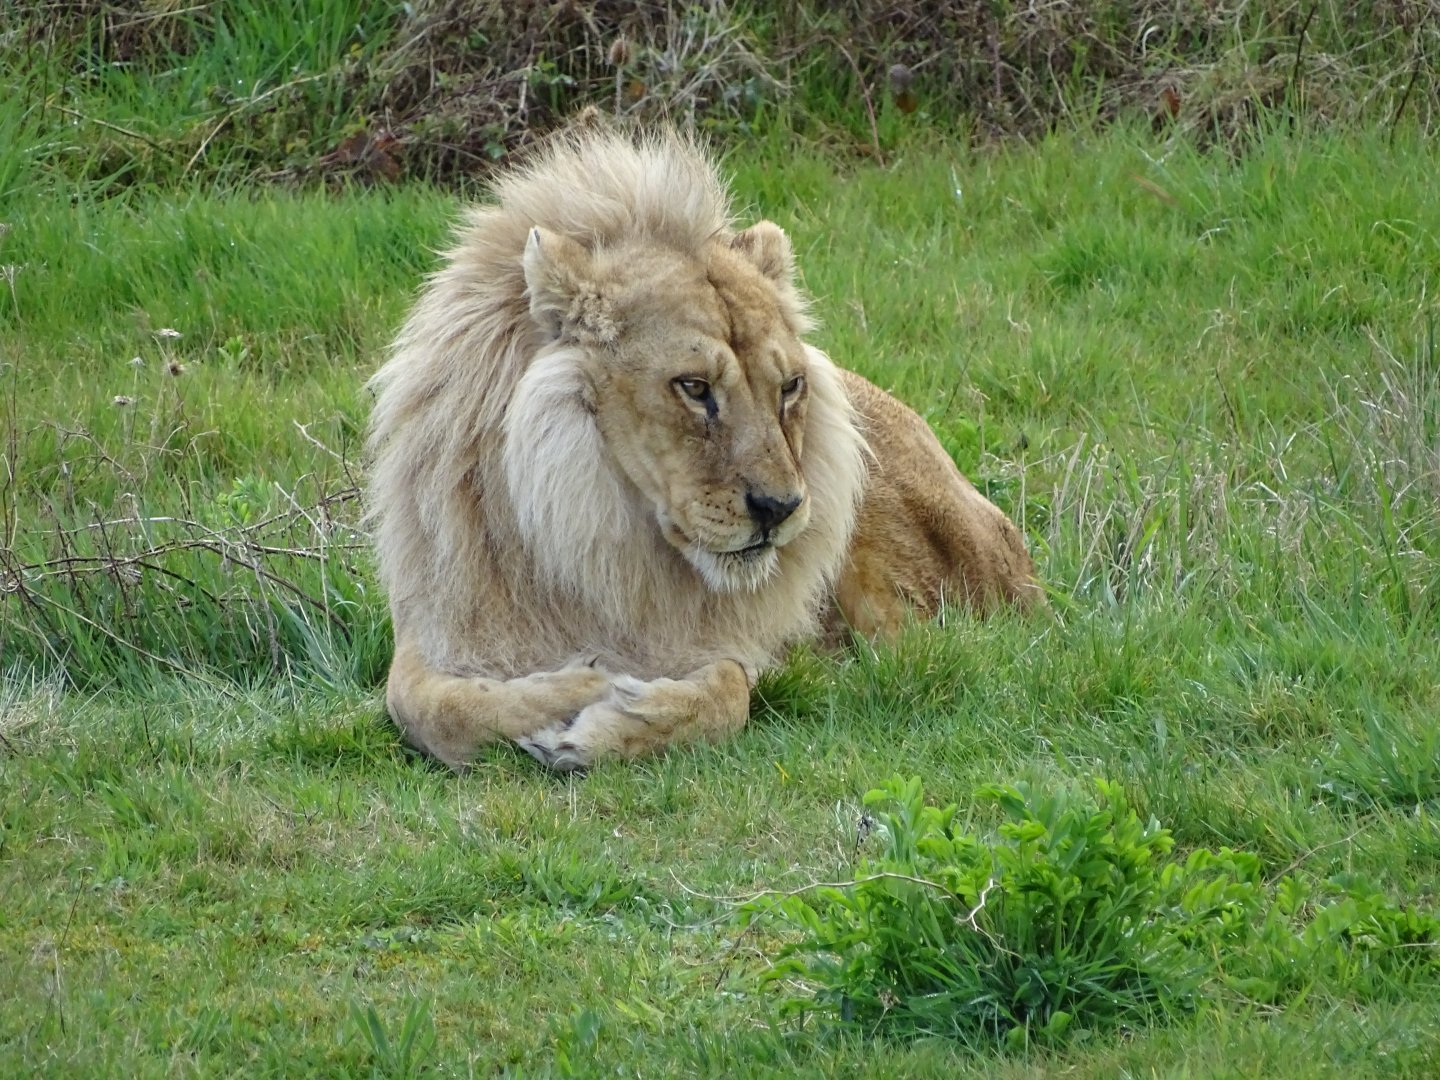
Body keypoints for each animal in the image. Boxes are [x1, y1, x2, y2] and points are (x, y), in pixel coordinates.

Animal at [366, 123, 1040, 772]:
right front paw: (578, 687)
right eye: (694, 387)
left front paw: (617, 715)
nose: (780, 509)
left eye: (789, 387)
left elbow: (729, 691)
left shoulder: (751, 648)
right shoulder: (435, 630)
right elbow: (426, 705)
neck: (595, 536)